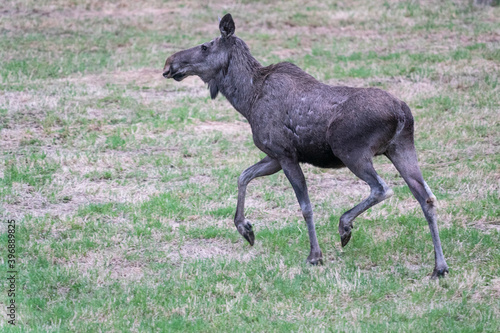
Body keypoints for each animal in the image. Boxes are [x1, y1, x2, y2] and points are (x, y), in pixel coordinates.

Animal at [164, 13, 450, 278]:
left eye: (205, 46)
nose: (169, 63)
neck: (246, 99)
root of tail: (402, 113)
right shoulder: (274, 156)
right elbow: (243, 176)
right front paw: (246, 229)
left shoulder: (286, 155)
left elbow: (305, 206)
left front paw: (315, 255)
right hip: (401, 148)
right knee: (426, 196)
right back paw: (440, 267)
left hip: (352, 151)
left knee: (383, 188)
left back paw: (345, 226)